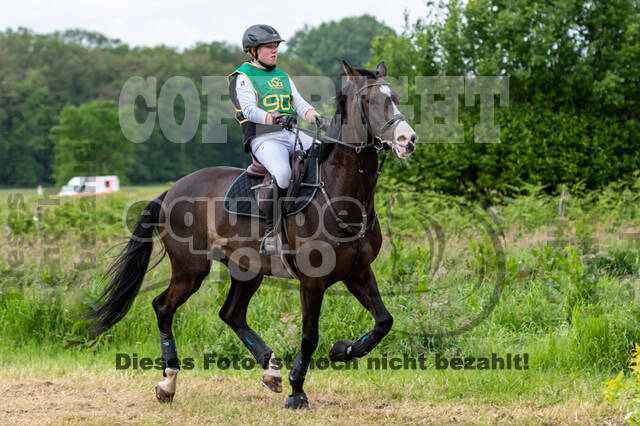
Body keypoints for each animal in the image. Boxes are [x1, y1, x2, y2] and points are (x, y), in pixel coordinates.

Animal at [87, 60, 417, 409]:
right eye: (369, 101)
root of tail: (172, 190)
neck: (340, 195)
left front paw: (342, 350)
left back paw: (269, 370)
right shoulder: (312, 282)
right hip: (191, 269)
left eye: (396, 97)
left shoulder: (358, 272)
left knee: (231, 314)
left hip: (246, 270)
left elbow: (383, 321)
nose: (407, 139)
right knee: (164, 307)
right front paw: (297, 391)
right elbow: (309, 336)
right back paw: (168, 382)